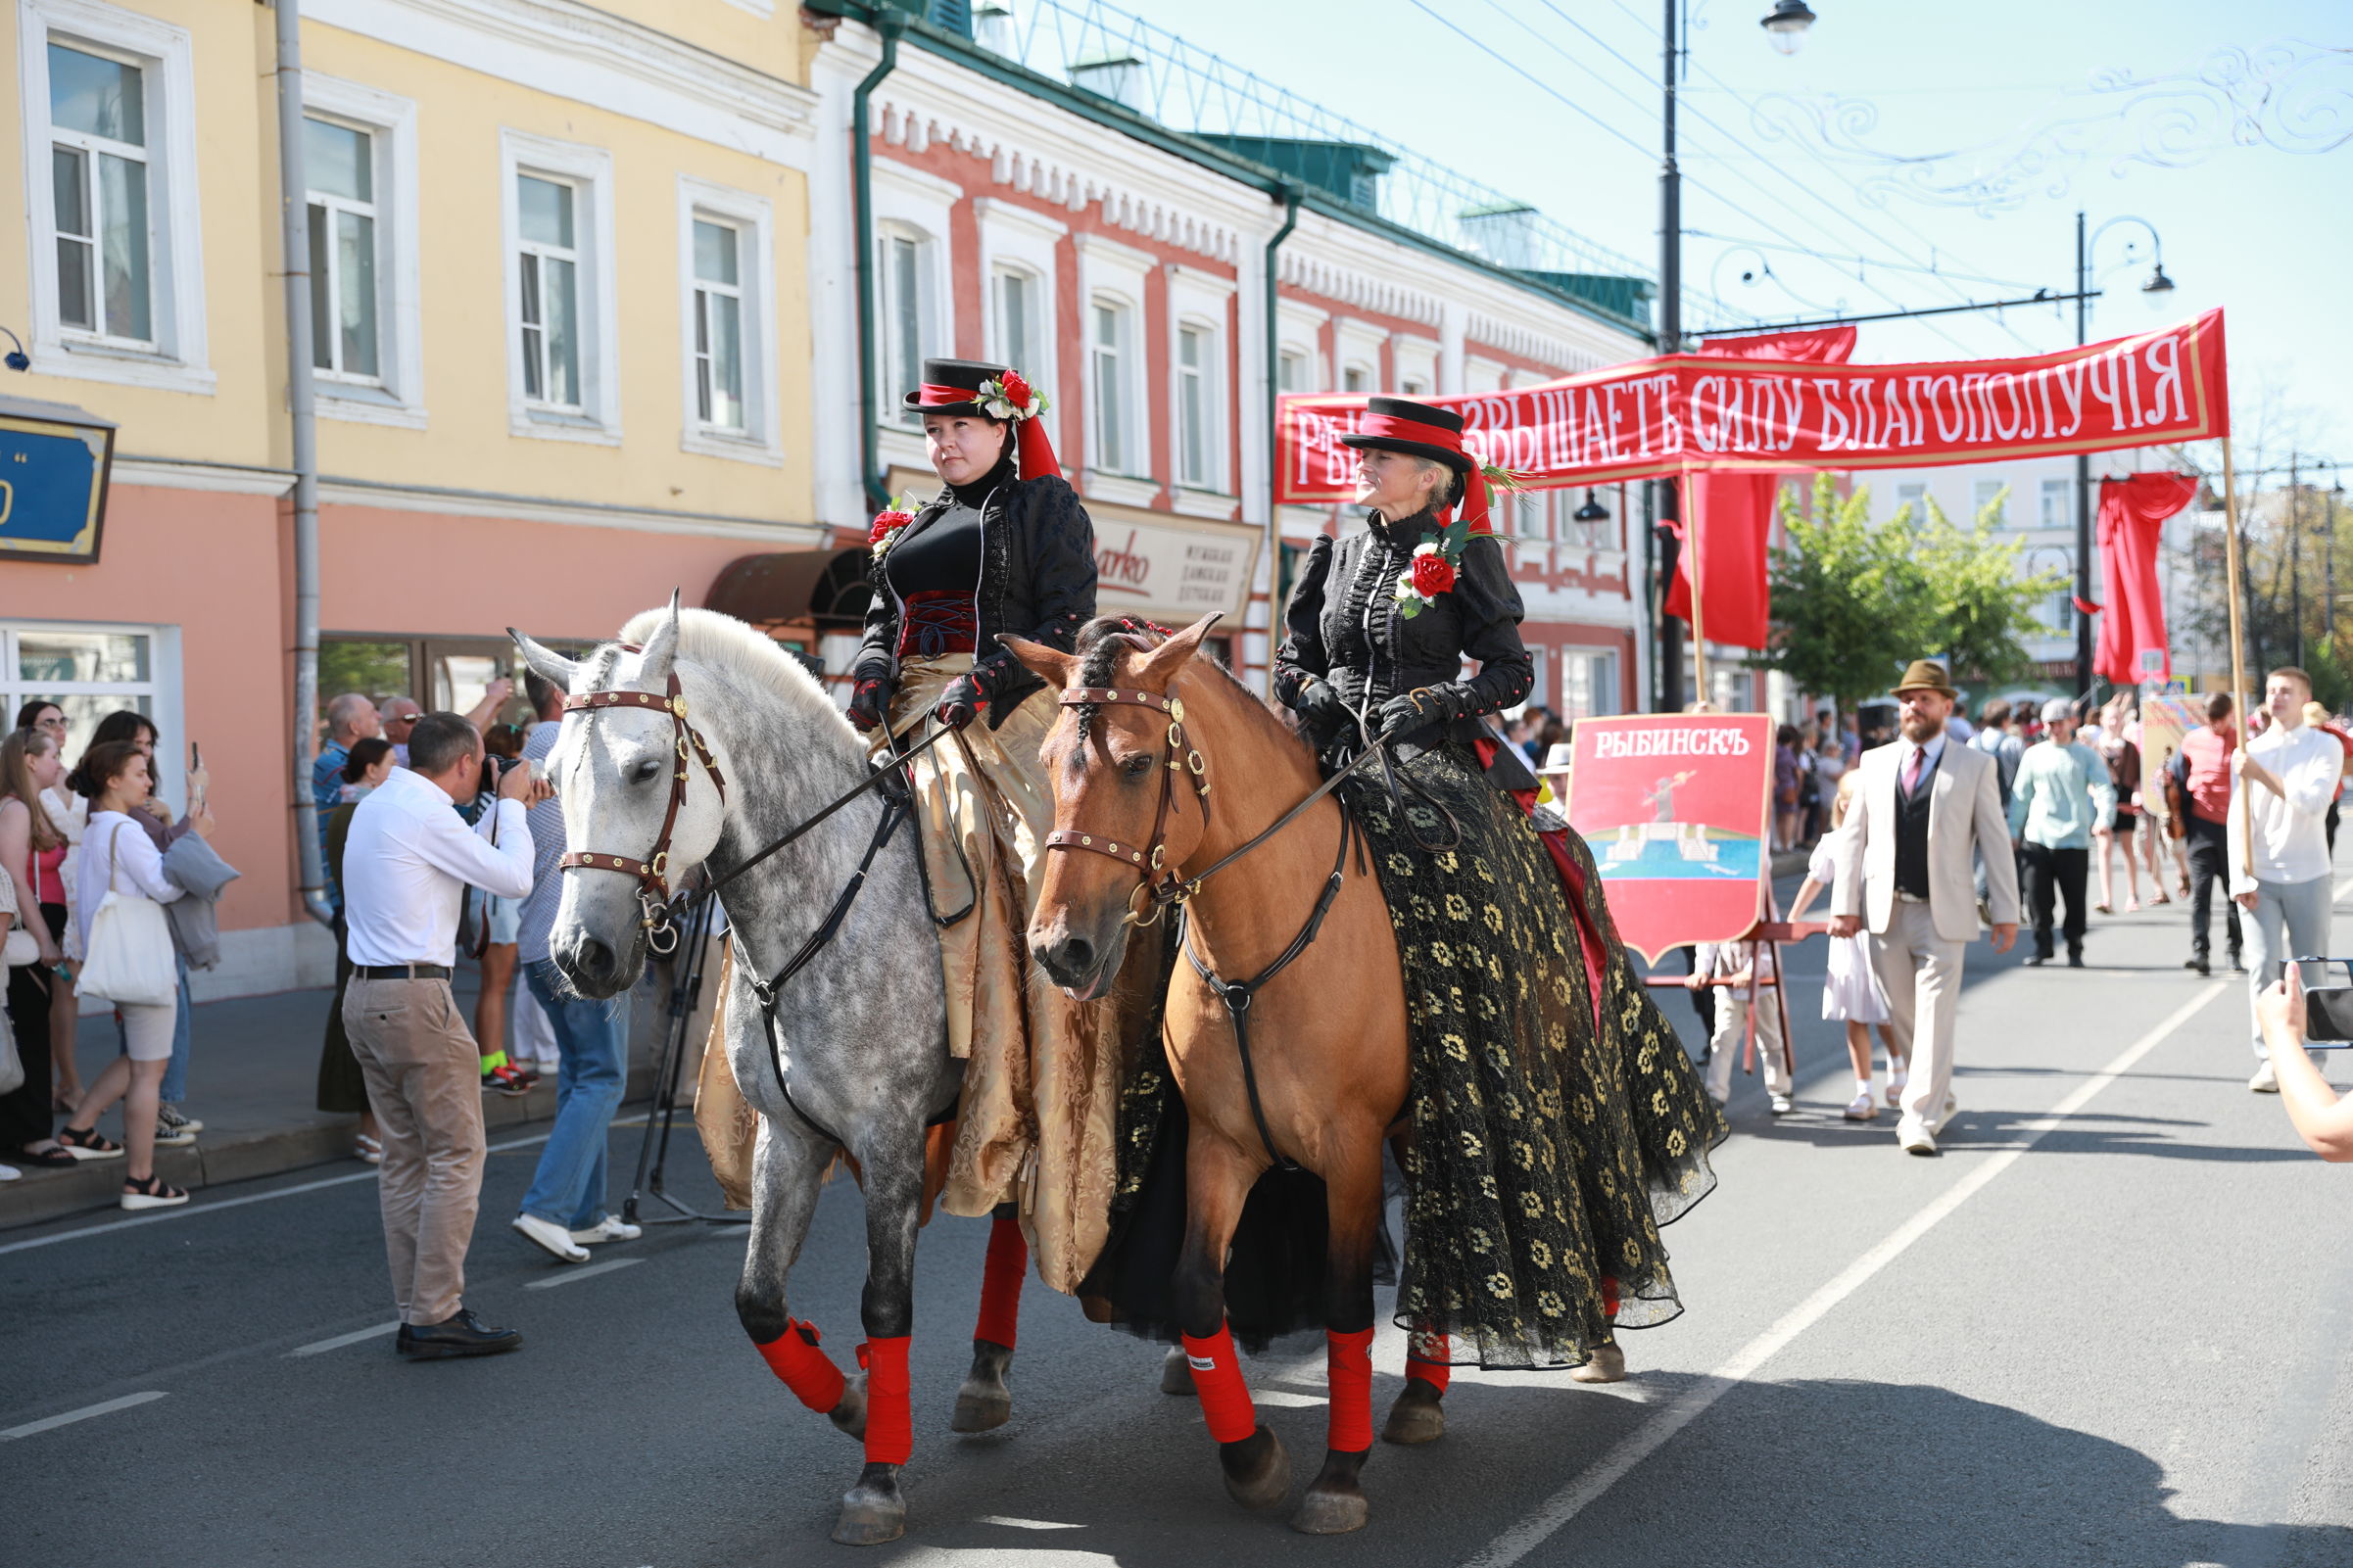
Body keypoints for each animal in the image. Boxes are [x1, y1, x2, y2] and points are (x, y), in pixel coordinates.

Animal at [515, 601, 1002, 1542]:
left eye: (646, 767)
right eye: (551, 775)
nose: (581, 955)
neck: (828, 901)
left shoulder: (888, 1139)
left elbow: (886, 1301)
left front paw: (877, 1477)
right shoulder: (789, 1137)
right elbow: (758, 1302)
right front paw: (855, 1402)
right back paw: (986, 1378)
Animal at [1002, 611, 1420, 1532]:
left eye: (1136, 762)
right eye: (1045, 761)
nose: (1057, 948)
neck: (1258, 952)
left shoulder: (1353, 1152)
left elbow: (1347, 1304)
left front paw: (1338, 1476)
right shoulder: (1220, 1143)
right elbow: (1196, 1289)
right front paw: (1251, 1457)